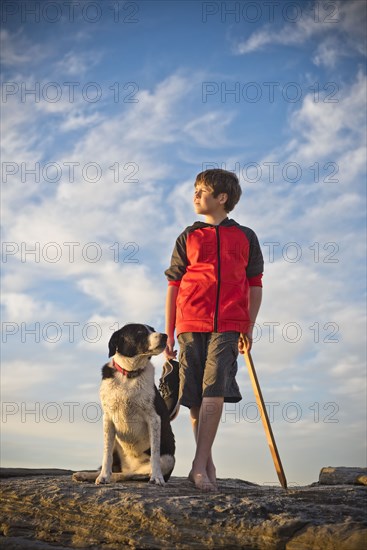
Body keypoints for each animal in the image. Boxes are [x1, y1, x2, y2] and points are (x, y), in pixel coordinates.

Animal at [73, 324, 177, 488]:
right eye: (140, 332)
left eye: (153, 330)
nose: (165, 336)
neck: (129, 374)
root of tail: (132, 466)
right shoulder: (108, 419)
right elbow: (106, 455)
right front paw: (103, 476)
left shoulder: (154, 419)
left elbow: (154, 453)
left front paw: (157, 478)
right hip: (116, 441)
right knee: (119, 470)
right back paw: (86, 475)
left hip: (168, 458)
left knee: (130, 475)